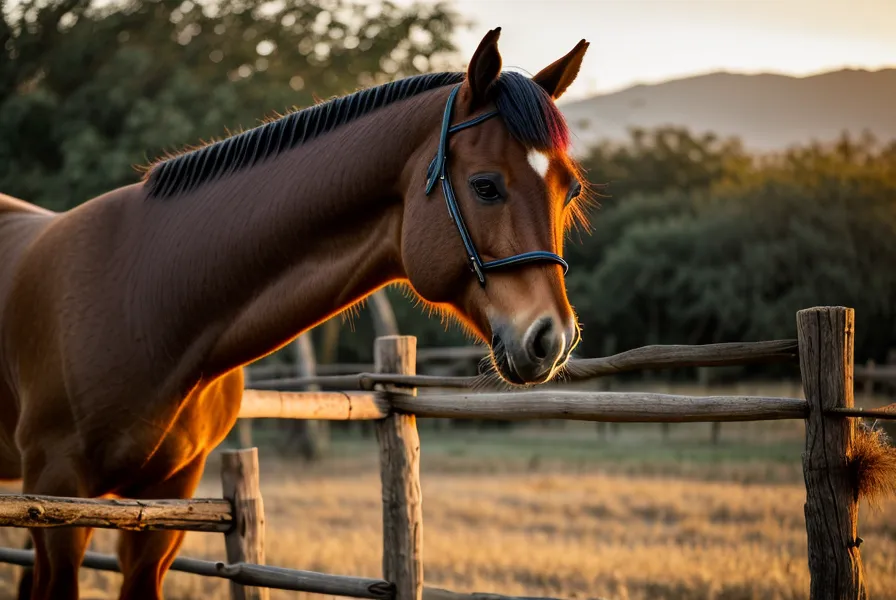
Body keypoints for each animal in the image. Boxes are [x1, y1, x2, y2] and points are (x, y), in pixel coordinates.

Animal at [0, 28, 590, 599]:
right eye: (485, 186)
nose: (551, 338)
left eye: (570, 190)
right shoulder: (59, 497)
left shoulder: (163, 509)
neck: (146, 299)